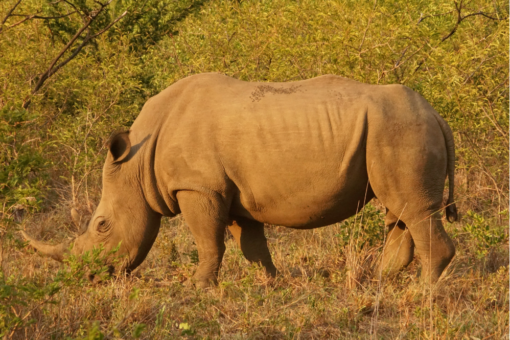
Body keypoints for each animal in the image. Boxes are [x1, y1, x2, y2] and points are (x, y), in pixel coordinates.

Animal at [22, 73, 458, 286]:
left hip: (402, 129)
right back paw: (377, 284)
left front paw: (198, 287)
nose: (86, 277)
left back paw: (423, 294)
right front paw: (271, 284)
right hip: (395, 130)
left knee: (413, 210)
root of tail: (438, 115)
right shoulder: (230, 193)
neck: (138, 159)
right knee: (399, 211)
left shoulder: (198, 186)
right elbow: (251, 245)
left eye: (101, 226)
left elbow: (208, 241)